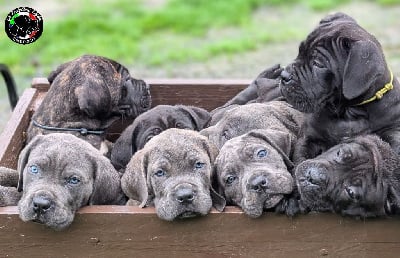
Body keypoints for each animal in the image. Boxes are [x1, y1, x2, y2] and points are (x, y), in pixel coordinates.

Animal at [280, 13, 400, 161]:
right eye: (299, 51)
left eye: (318, 64)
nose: (283, 75)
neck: (348, 111)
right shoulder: (308, 137)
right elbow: (301, 158)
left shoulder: (393, 129)